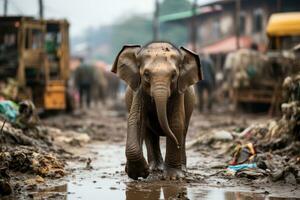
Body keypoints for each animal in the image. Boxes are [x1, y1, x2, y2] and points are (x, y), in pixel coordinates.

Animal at [111, 41, 203, 180]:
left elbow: (176, 123)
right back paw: (155, 168)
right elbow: (135, 120)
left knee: (183, 131)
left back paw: (181, 169)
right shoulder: (139, 89)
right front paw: (138, 173)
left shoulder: (178, 92)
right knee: (148, 133)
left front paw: (172, 177)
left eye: (174, 75)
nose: (177, 143)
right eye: (146, 74)